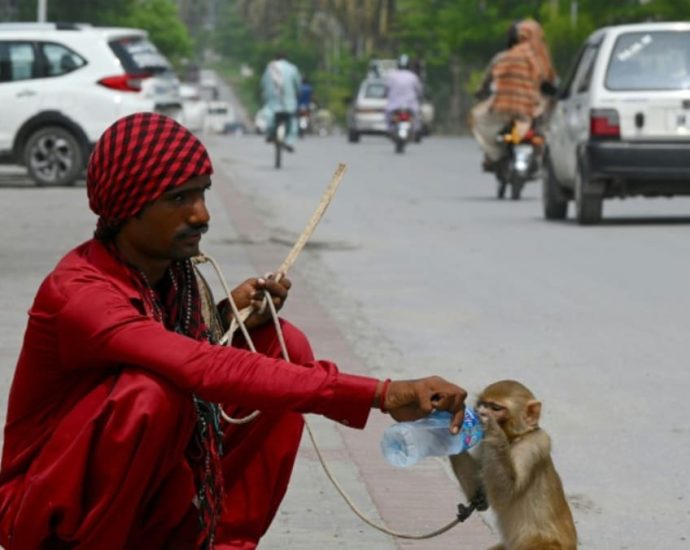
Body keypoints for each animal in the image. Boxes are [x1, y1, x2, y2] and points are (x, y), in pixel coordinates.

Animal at [446, 382, 576, 548]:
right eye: (482, 403)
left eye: (495, 408)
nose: (479, 411)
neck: (512, 439)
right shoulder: (484, 447)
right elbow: (480, 496)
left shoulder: (535, 444)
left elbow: (505, 494)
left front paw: (491, 427)